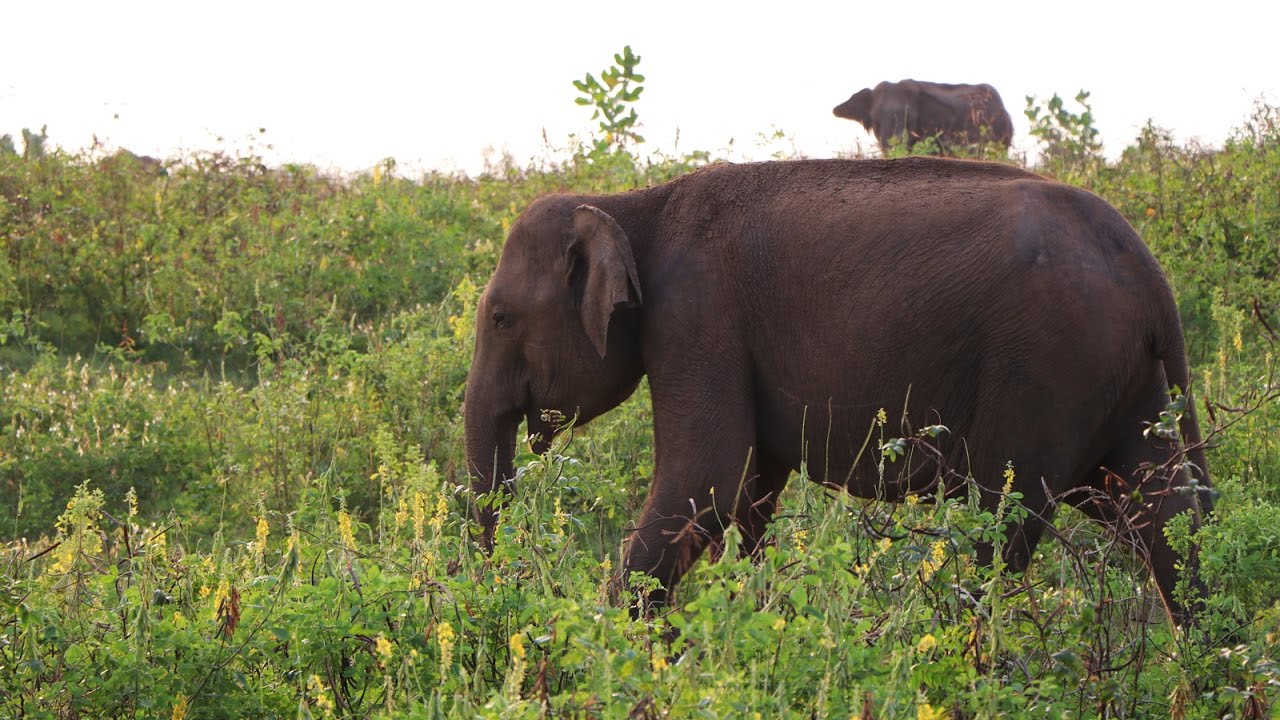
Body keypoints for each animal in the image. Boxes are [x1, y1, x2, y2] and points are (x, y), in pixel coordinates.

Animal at [464, 157, 1210, 624]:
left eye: (500, 318)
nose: (500, 583)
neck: (633, 203)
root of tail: (1151, 276)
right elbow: (748, 495)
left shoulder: (696, 319)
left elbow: (706, 477)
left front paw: (610, 647)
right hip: (1128, 383)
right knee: (1166, 518)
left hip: (1050, 366)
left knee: (1002, 522)